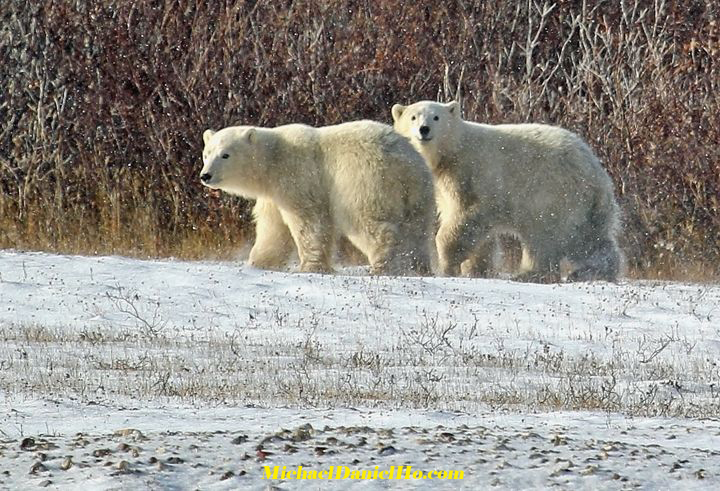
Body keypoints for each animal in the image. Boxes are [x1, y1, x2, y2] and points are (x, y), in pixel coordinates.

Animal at [198, 120, 434, 274]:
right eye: (206, 154)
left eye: (225, 154)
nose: (205, 175)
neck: (273, 160)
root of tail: (403, 163)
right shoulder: (274, 193)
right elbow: (273, 227)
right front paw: (259, 261)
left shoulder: (298, 178)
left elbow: (309, 221)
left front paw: (311, 267)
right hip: (419, 191)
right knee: (418, 229)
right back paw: (420, 267)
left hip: (363, 181)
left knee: (368, 222)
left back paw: (382, 265)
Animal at [390, 100, 620, 282]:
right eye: (413, 116)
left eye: (436, 117)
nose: (424, 129)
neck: (452, 153)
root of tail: (598, 174)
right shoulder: (445, 186)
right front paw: (476, 269)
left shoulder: (476, 176)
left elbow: (465, 220)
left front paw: (447, 265)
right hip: (584, 208)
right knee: (591, 239)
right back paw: (596, 270)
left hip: (555, 195)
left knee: (545, 238)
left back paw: (530, 273)